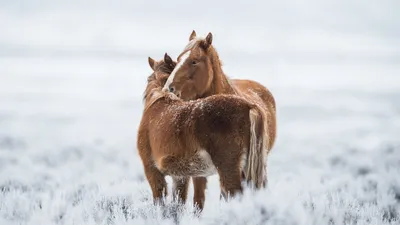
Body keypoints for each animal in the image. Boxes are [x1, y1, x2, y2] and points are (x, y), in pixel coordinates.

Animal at [139, 55, 268, 211]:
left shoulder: (152, 170)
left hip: (229, 168)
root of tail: (249, 106)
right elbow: (177, 205)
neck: (158, 101)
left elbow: (160, 202)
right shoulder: (180, 177)